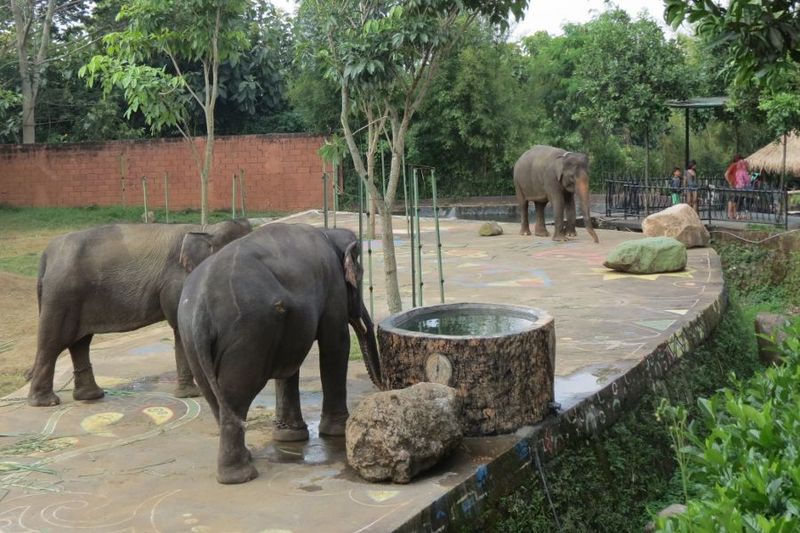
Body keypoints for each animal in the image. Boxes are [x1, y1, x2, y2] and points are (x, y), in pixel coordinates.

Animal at [25, 218, 250, 406]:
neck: (206, 228)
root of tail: (47, 255)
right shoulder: (177, 281)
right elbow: (181, 325)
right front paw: (191, 395)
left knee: (80, 343)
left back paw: (91, 396)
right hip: (61, 296)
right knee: (53, 342)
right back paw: (46, 402)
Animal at [178, 220, 384, 482]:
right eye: (360, 275)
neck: (328, 232)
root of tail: (200, 310)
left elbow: (291, 362)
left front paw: (290, 436)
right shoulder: (333, 285)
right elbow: (336, 343)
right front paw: (337, 432)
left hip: (192, 340)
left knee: (217, 399)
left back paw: (244, 461)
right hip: (246, 334)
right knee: (236, 394)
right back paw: (241, 476)